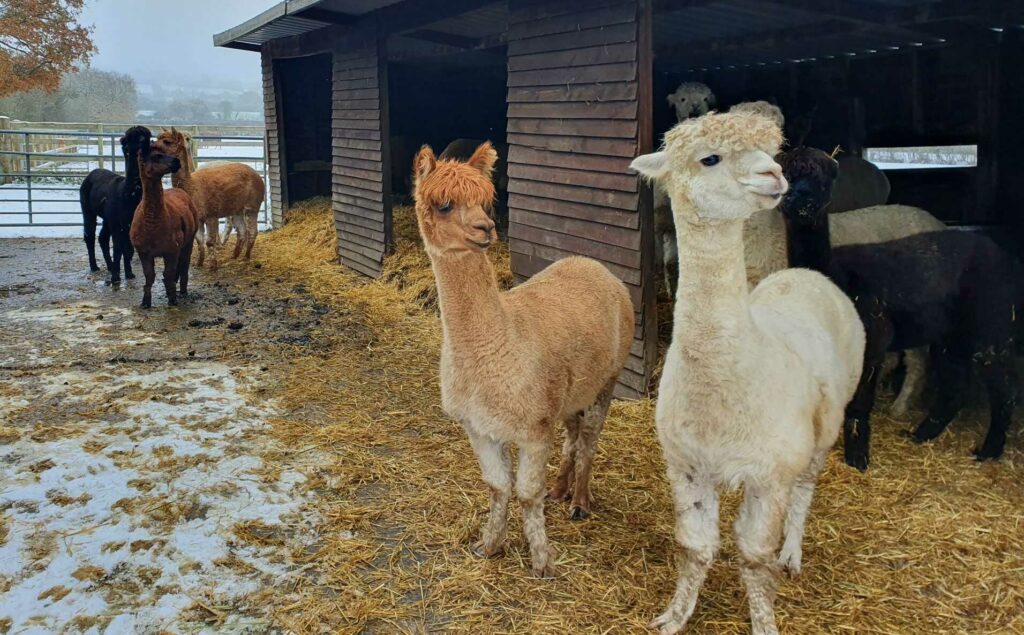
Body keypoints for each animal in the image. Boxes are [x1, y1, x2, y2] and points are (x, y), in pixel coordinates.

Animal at [78, 125, 151, 280]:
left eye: (147, 138)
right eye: (127, 144)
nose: (142, 143)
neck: (128, 196)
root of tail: (92, 172)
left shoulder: (128, 222)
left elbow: (128, 248)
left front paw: (128, 273)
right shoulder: (118, 222)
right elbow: (119, 247)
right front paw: (116, 278)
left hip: (107, 217)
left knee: (103, 238)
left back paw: (111, 266)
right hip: (87, 208)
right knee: (90, 235)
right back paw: (94, 266)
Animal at [778, 146, 1019, 469]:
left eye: (821, 178)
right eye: (784, 174)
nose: (800, 200)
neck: (834, 276)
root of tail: (1001, 255)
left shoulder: (873, 335)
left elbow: (860, 400)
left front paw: (857, 457)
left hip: (991, 322)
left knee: (1002, 388)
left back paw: (988, 450)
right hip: (949, 334)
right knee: (956, 385)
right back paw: (922, 434)